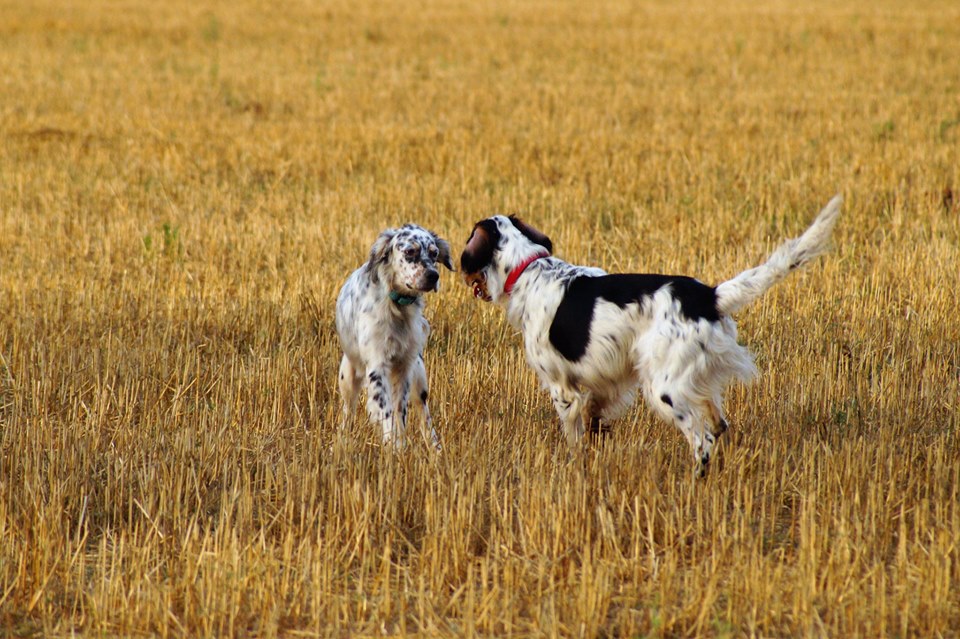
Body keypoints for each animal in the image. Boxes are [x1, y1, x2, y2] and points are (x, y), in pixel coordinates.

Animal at [336, 224, 453, 449]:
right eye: (410, 252)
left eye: (434, 253)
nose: (433, 275)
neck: (398, 306)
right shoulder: (377, 366)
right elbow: (386, 411)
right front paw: (393, 444)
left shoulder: (405, 366)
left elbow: (400, 411)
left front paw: (399, 445)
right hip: (347, 376)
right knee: (347, 411)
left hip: (419, 374)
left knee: (424, 413)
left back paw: (435, 448)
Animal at [460, 195, 842, 475]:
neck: (530, 270)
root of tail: (709, 296)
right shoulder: (605, 382)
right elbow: (596, 420)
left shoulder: (562, 388)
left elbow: (574, 437)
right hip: (695, 381)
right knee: (719, 425)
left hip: (664, 388)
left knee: (702, 440)